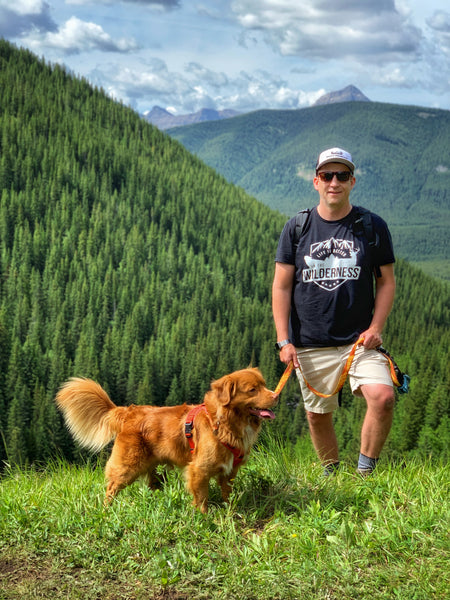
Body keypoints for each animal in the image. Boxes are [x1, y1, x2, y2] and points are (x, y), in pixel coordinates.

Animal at [56, 368, 278, 512]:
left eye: (264, 386)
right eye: (252, 390)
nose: (276, 396)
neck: (224, 423)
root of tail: (127, 412)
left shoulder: (230, 471)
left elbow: (227, 494)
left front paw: (230, 512)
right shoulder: (198, 470)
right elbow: (202, 498)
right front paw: (204, 518)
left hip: (152, 469)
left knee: (152, 486)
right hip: (128, 466)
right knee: (111, 487)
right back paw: (105, 511)